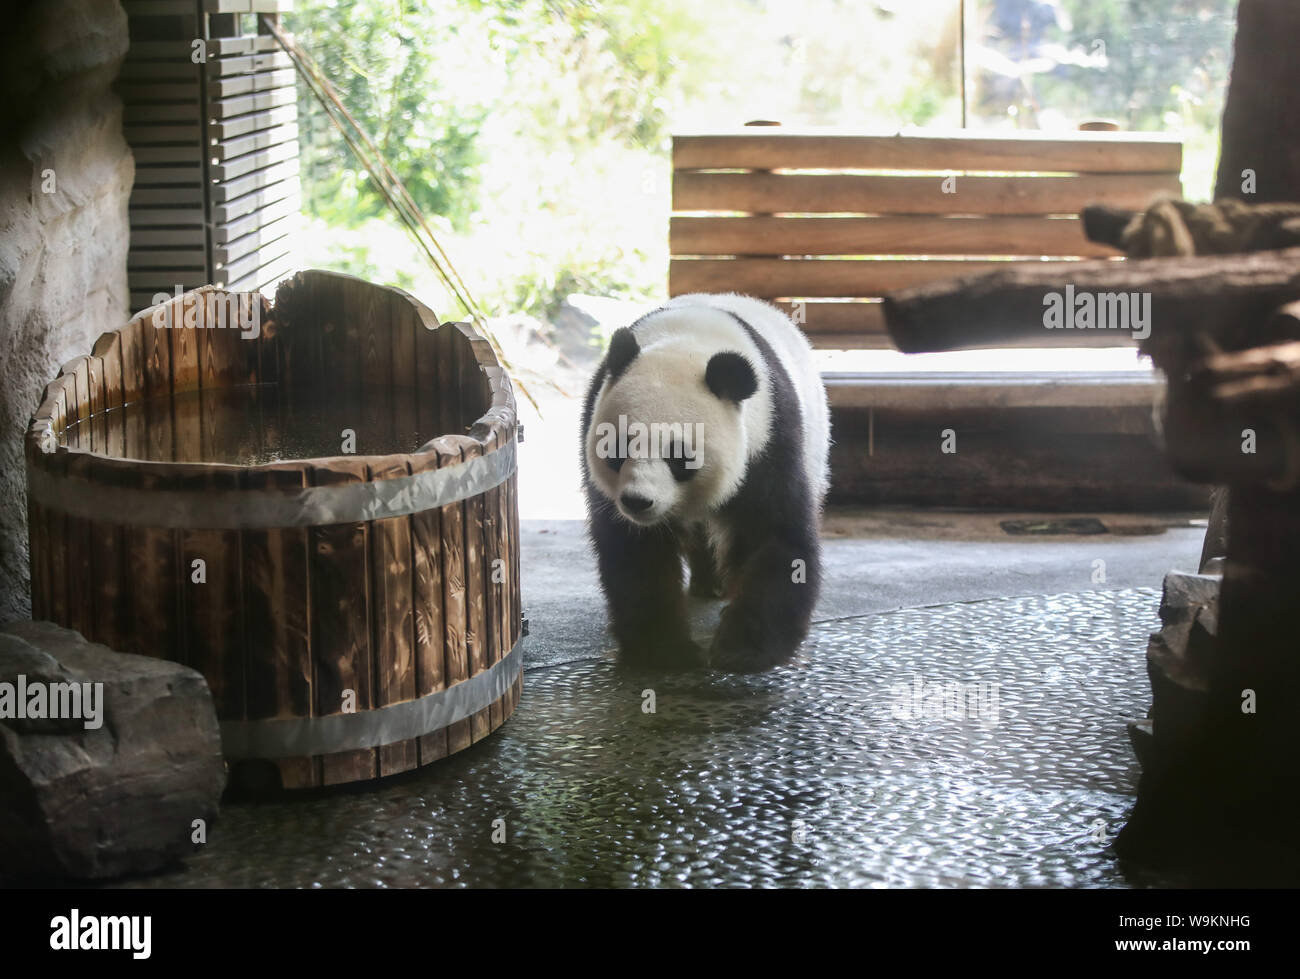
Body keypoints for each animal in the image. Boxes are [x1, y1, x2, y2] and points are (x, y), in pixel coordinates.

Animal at [582, 292, 826, 670]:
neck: (688, 342)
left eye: (678, 457)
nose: (638, 501)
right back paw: (707, 583)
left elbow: (776, 536)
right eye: (618, 449)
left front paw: (743, 650)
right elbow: (635, 552)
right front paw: (664, 651)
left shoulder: (770, 440)